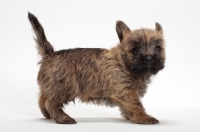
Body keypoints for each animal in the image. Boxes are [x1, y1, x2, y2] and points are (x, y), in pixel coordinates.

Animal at [28, 11, 166, 124]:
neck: (123, 62)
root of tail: (50, 54)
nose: (149, 58)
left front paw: (131, 116)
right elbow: (136, 105)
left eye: (158, 48)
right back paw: (63, 118)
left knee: (42, 99)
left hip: (52, 86)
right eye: (134, 49)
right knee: (50, 102)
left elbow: (128, 107)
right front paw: (144, 118)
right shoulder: (126, 92)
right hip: (64, 87)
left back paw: (48, 115)